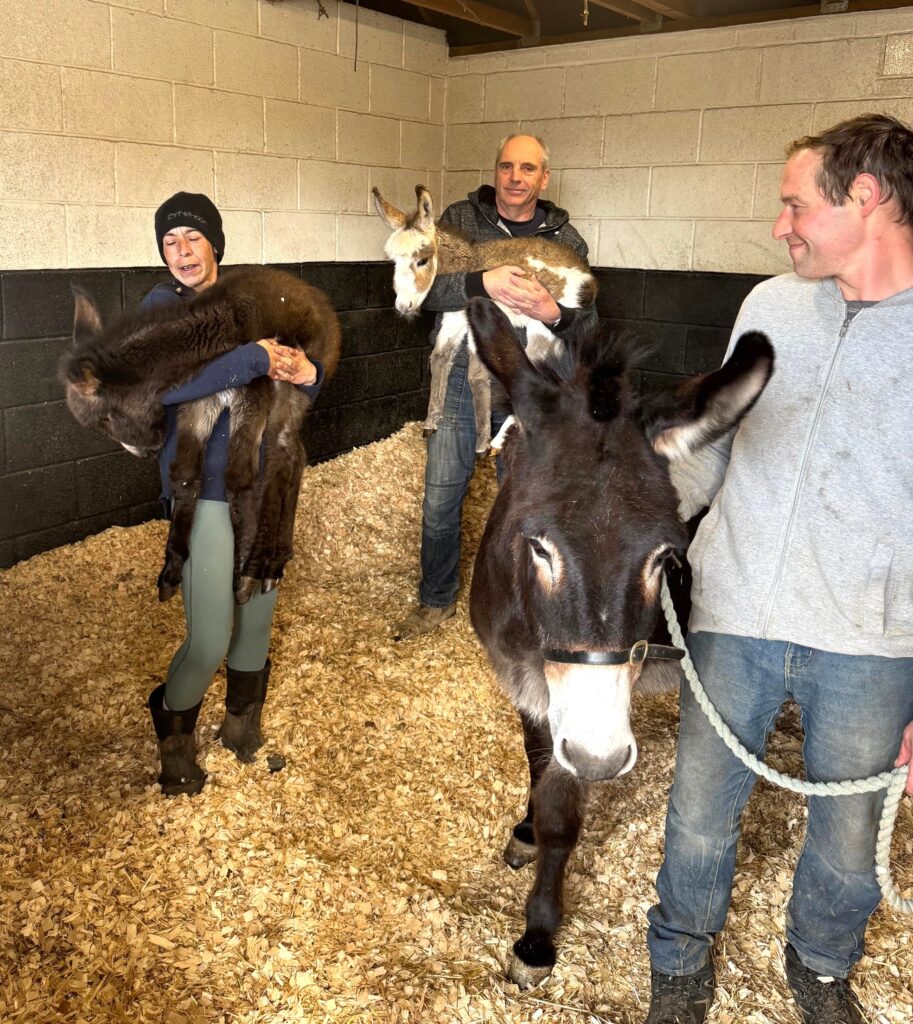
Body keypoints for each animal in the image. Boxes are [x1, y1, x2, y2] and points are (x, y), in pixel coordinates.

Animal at [372, 183, 597, 452]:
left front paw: (481, 445)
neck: (471, 262)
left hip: (542, 328)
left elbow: (476, 376)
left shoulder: (476, 326)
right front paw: (431, 424)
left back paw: (502, 438)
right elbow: (439, 358)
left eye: (422, 260)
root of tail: (588, 281)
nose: (403, 306)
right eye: (393, 262)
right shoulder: (453, 319)